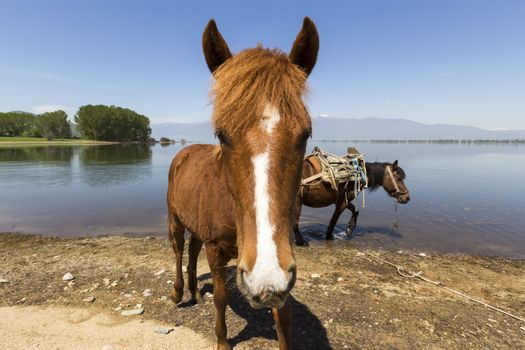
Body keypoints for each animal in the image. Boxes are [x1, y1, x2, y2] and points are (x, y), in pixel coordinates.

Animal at [168, 18, 318, 350]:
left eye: (306, 133)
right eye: (222, 134)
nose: (264, 276)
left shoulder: (282, 266)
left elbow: (284, 318)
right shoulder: (216, 250)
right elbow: (222, 297)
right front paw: (223, 341)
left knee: (192, 251)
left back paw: (195, 292)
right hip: (175, 220)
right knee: (178, 249)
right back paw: (178, 292)